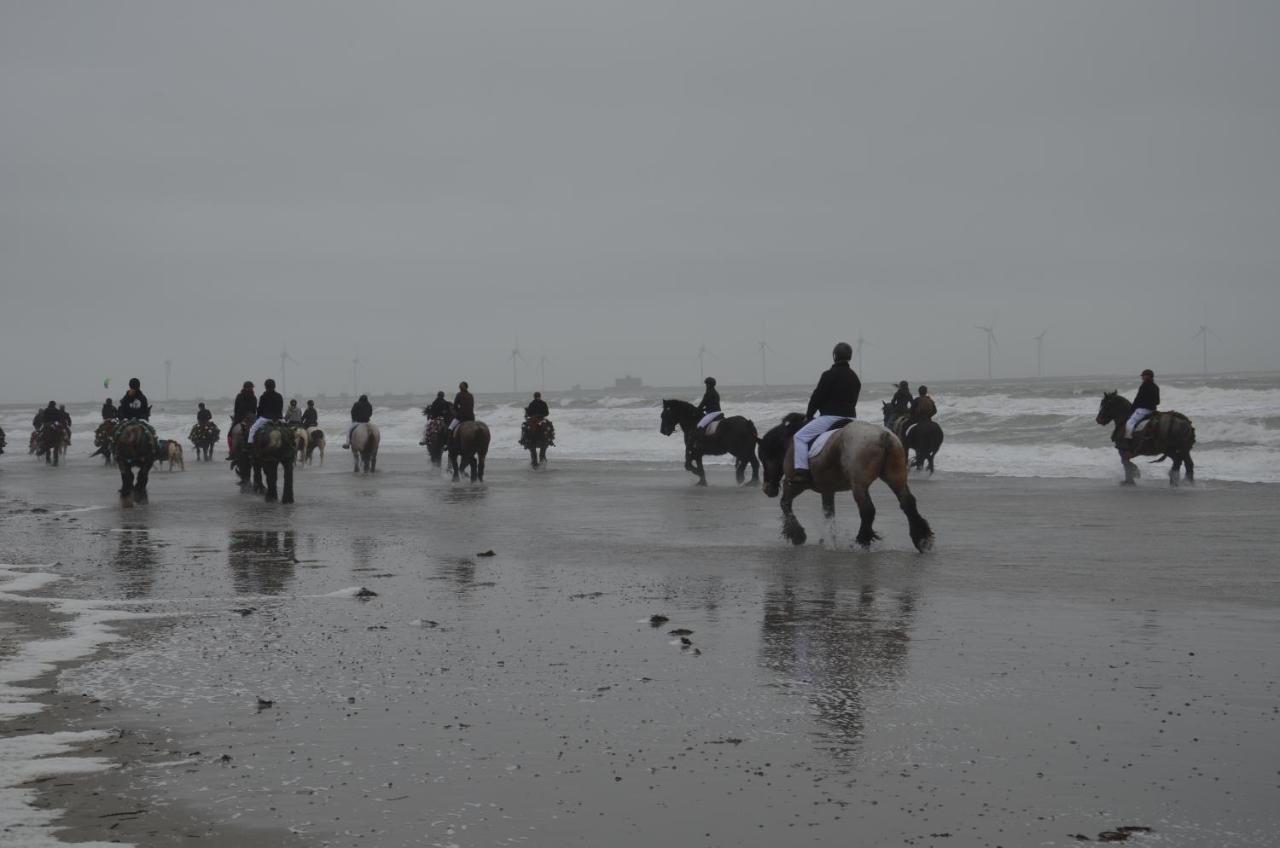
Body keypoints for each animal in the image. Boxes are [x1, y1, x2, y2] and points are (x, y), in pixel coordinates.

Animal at [757, 415, 931, 555]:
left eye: (763, 457)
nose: (767, 489)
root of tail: (884, 435)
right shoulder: (827, 490)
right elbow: (829, 513)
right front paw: (828, 539)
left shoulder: (794, 485)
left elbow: (785, 503)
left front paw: (797, 535)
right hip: (896, 479)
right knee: (908, 503)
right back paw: (922, 539)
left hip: (859, 485)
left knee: (867, 510)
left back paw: (862, 541)